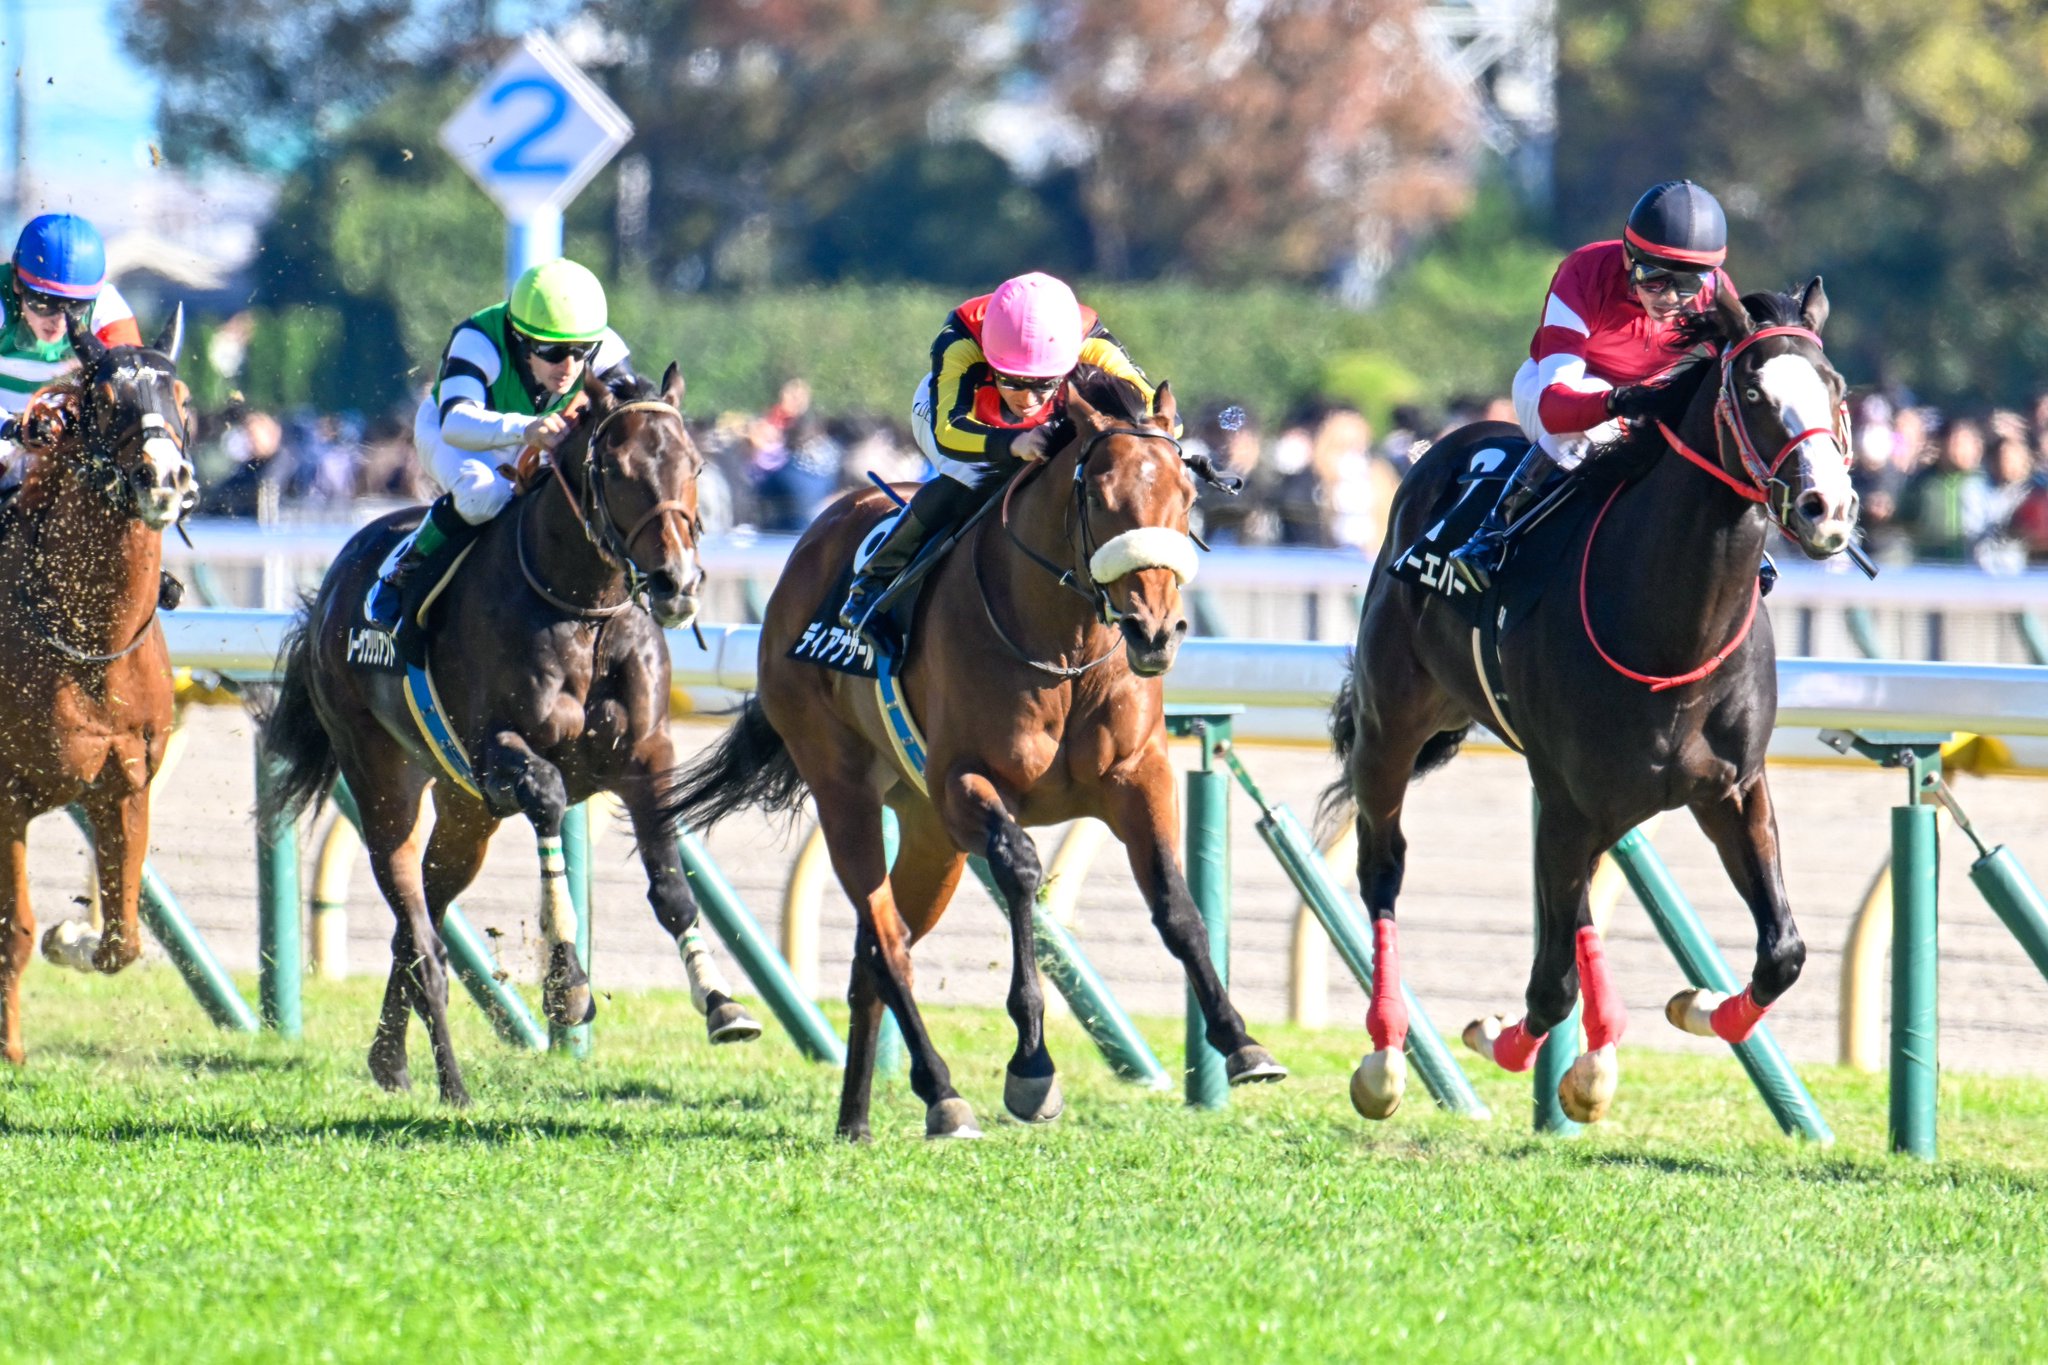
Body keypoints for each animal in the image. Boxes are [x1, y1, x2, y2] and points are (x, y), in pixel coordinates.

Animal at [0, 306, 197, 1055]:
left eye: (182, 398)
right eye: (109, 401)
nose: (164, 477)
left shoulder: (125, 783)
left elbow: (124, 939)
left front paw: (72, 936)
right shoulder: (7, 797)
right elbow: (14, 931)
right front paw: (10, 1049)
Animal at [262, 368, 761, 1105]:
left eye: (694, 465)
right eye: (615, 469)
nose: (677, 581)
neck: (584, 610)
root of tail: (328, 590)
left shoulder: (647, 756)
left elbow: (672, 888)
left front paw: (722, 1002)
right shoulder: (497, 751)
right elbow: (549, 797)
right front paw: (566, 985)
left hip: (466, 814)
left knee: (417, 925)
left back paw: (390, 1060)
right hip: (383, 780)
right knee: (421, 935)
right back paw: (452, 1085)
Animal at [671, 366, 1277, 1146]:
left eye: (1187, 494)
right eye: (1099, 497)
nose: (1155, 631)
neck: (1065, 646)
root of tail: (809, 546)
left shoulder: (1138, 777)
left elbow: (1176, 904)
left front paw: (1241, 1041)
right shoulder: (965, 783)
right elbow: (1020, 869)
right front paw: (1032, 1067)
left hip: (929, 834)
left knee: (871, 956)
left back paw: (856, 1118)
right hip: (845, 790)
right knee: (888, 941)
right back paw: (942, 1093)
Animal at [1318, 282, 1867, 1129]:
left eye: (1835, 388)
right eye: (1751, 393)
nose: (1826, 507)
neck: (1670, 628)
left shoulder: (1731, 788)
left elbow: (1783, 952)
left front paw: (1699, 1005)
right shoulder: (1570, 798)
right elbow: (1548, 984)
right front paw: (1501, 1038)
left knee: (1575, 907)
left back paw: (1599, 1055)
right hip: (1395, 727)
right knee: (1384, 865)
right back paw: (1384, 1058)